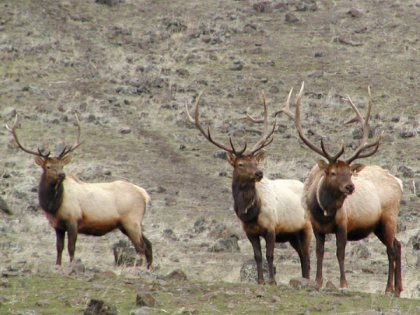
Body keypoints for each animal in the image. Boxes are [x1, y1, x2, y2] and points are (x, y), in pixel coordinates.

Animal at [5, 116, 153, 270]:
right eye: (48, 166)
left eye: (62, 165)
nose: (62, 175)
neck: (52, 206)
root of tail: (144, 194)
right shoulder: (57, 226)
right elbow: (59, 247)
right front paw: (58, 265)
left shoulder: (73, 220)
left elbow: (71, 247)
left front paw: (72, 265)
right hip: (128, 224)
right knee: (148, 244)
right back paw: (149, 268)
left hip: (131, 220)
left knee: (141, 247)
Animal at [185, 92, 314, 286]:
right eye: (241, 164)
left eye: (256, 162)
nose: (259, 173)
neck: (251, 212)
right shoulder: (249, 232)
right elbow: (257, 256)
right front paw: (260, 280)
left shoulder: (271, 227)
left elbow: (270, 255)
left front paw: (272, 281)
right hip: (292, 234)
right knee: (302, 256)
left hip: (306, 227)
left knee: (306, 257)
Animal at [276, 82, 404, 298]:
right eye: (333, 172)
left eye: (350, 173)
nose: (350, 187)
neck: (324, 210)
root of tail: (399, 182)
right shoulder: (315, 226)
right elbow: (319, 252)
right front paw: (318, 282)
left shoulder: (343, 223)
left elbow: (340, 252)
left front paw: (343, 284)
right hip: (378, 225)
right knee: (397, 244)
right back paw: (397, 289)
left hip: (389, 216)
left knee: (391, 249)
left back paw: (388, 289)